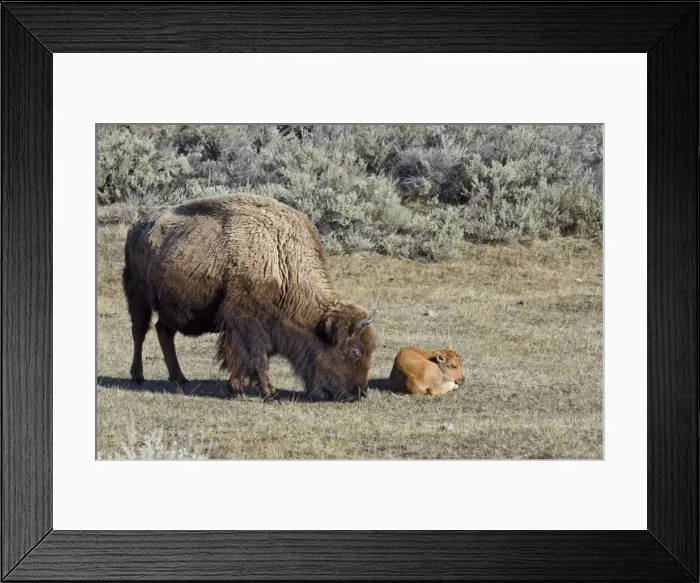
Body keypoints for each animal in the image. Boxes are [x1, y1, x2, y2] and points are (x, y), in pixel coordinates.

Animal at [122, 193, 378, 402]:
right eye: (354, 353)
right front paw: (269, 394)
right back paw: (138, 376)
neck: (280, 259)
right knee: (139, 332)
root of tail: (136, 227)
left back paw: (179, 378)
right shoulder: (247, 323)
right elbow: (255, 357)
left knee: (164, 331)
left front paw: (237, 388)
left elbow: (244, 358)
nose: (361, 393)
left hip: (170, 306)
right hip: (138, 297)